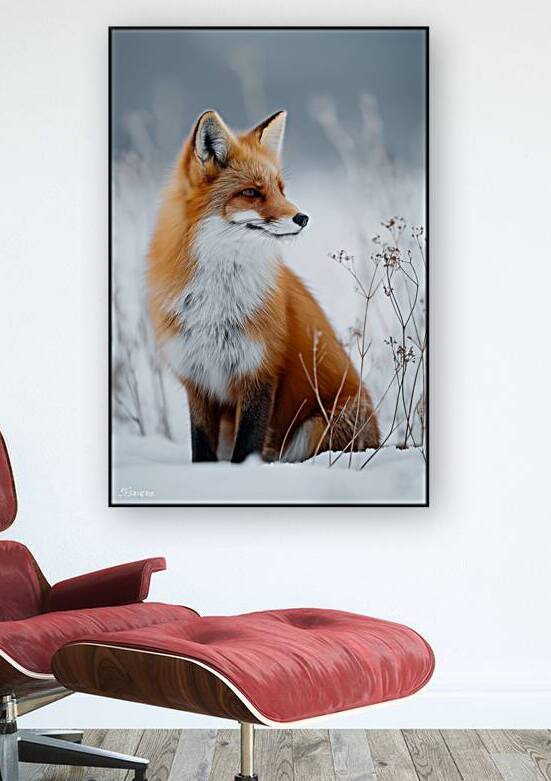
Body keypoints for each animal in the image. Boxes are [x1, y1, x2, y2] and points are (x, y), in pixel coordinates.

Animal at [147, 109, 380, 463]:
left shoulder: (260, 373)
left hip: (317, 425)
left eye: (281, 189)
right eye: (251, 193)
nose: (303, 218)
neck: (217, 303)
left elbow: (246, 448)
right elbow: (201, 450)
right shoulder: (197, 379)